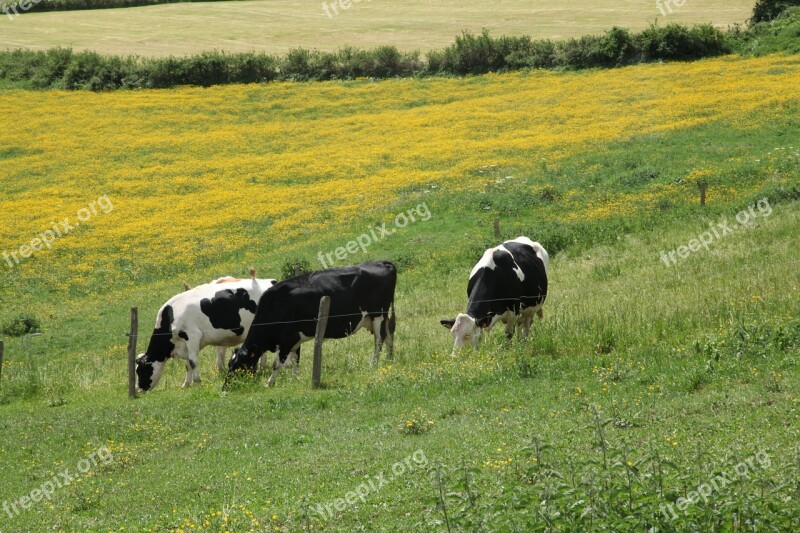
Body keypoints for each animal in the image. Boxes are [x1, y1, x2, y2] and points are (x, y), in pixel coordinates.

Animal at [134, 270, 276, 390]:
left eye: (140, 370)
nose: (138, 389)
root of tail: (270, 281)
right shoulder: (185, 344)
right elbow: (187, 364)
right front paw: (186, 384)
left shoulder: (192, 336)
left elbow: (192, 362)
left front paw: (197, 382)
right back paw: (262, 368)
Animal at [228, 260, 396, 384]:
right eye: (230, 365)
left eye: (239, 366)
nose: (226, 387)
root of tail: (382, 262)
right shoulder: (295, 338)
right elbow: (295, 359)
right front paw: (294, 378)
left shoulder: (288, 339)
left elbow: (278, 363)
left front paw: (270, 382)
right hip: (379, 317)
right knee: (388, 335)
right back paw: (389, 360)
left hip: (377, 314)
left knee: (379, 340)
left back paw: (373, 363)